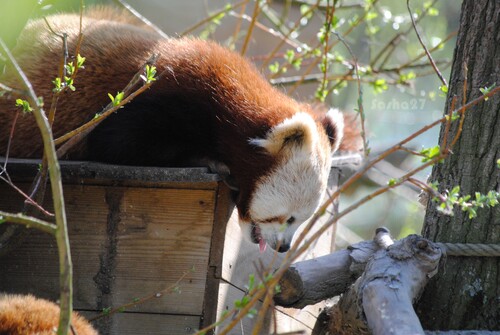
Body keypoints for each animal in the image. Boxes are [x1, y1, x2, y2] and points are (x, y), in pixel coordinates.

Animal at [0, 9, 346, 253]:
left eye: (300, 220)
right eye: (288, 218)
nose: (283, 247)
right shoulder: (159, 93)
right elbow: (116, 142)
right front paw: (209, 159)